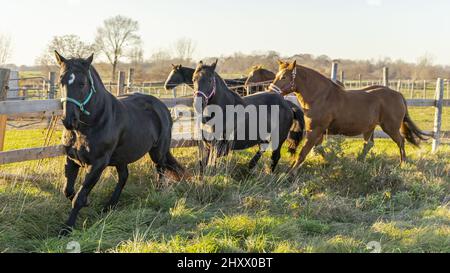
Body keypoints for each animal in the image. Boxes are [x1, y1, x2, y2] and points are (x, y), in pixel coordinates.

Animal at [55, 52, 185, 235]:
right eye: (61, 81)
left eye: (82, 83)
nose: (68, 120)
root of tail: (162, 106)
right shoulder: (72, 159)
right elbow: (68, 191)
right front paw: (87, 203)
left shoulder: (97, 164)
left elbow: (78, 197)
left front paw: (66, 228)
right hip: (122, 157)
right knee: (124, 177)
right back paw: (109, 206)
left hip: (157, 151)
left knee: (161, 169)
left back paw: (158, 193)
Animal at [268, 61, 430, 170]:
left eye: (284, 77)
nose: (270, 90)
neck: (320, 96)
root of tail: (398, 94)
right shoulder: (318, 131)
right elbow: (318, 149)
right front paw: (331, 161)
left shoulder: (315, 130)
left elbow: (304, 152)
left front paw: (290, 173)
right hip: (370, 128)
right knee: (368, 144)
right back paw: (359, 161)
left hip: (390, 127)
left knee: (401, 141)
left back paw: (403, 163)